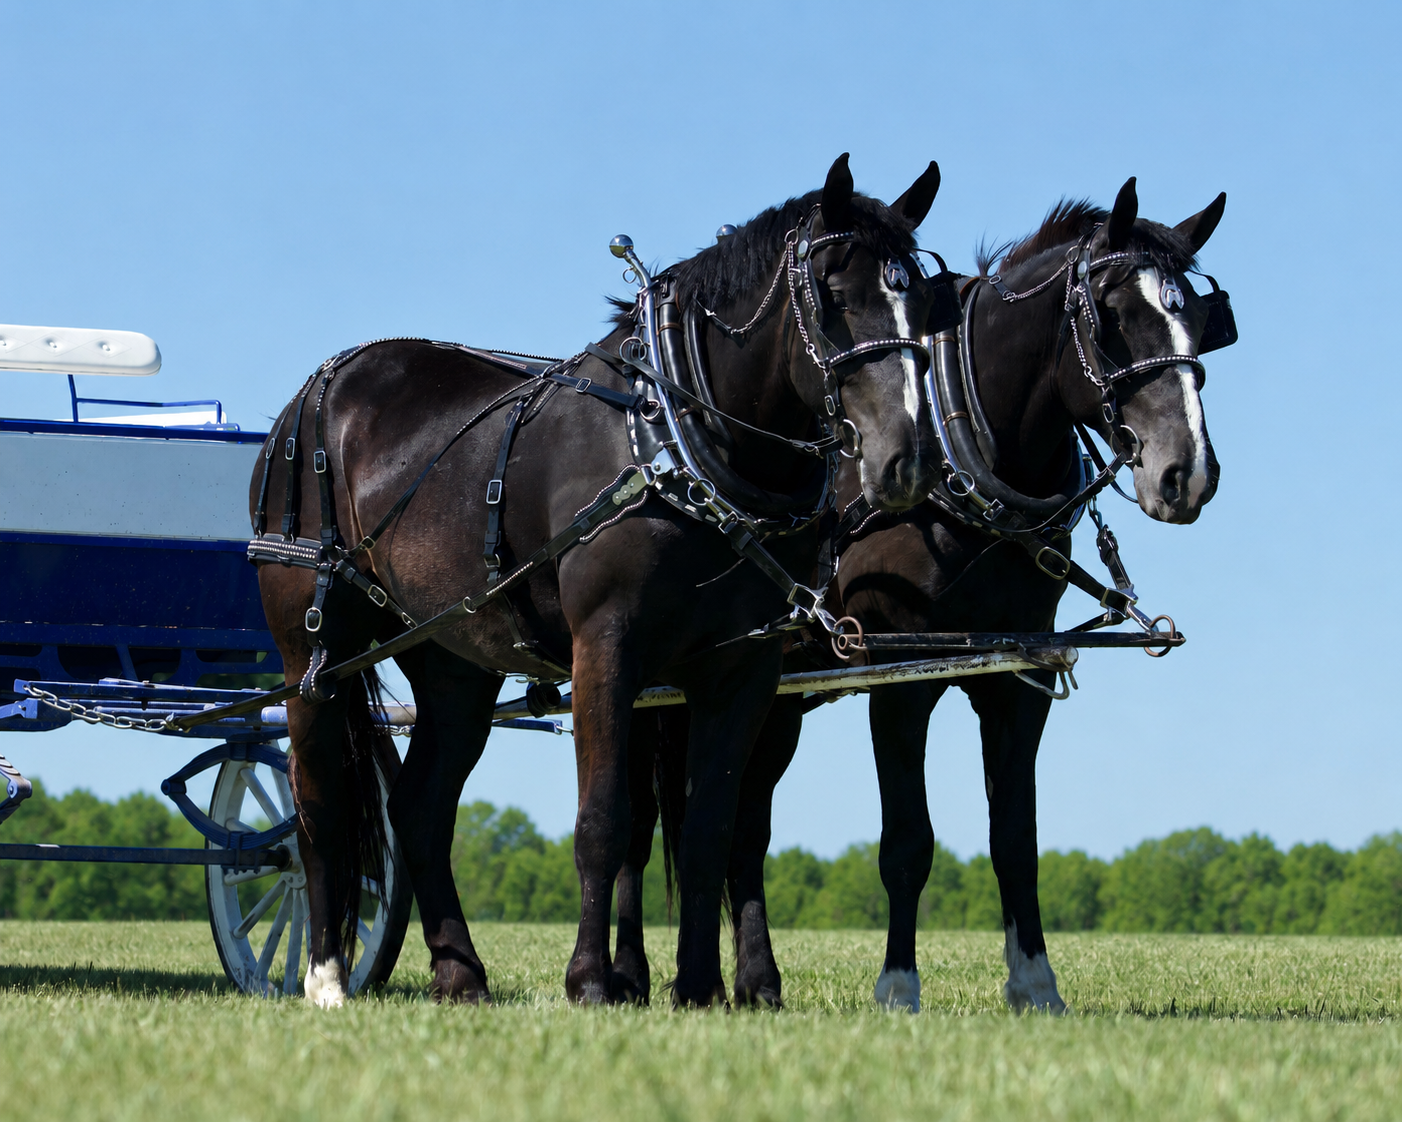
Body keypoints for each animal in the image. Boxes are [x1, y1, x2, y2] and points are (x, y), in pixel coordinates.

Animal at [246, 154, 946, 1007]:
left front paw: (699, 987)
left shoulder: (743, 667)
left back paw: (459, 970)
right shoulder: (607, 647)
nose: (907, 461)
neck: (673, 437)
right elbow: (604, 822)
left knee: (419, 808)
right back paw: (324, 976)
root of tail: (311, 397)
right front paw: (591, 980)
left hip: (454, 663)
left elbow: (709, 827)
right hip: (314, 653)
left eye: (925, 300)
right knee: (320, 807)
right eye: (836, 297)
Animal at [632, 178, 1230, 1010]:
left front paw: (1035, 982)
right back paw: (632, 974)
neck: (964, 463)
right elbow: (907, 842)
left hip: (773, 696)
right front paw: (897, 985)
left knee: (744, 827)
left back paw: (757, 982)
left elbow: (1016, 837)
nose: (1188, 473)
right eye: (1112, 314)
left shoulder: (1021, 673)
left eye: (1200, 321)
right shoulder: (901, 675)